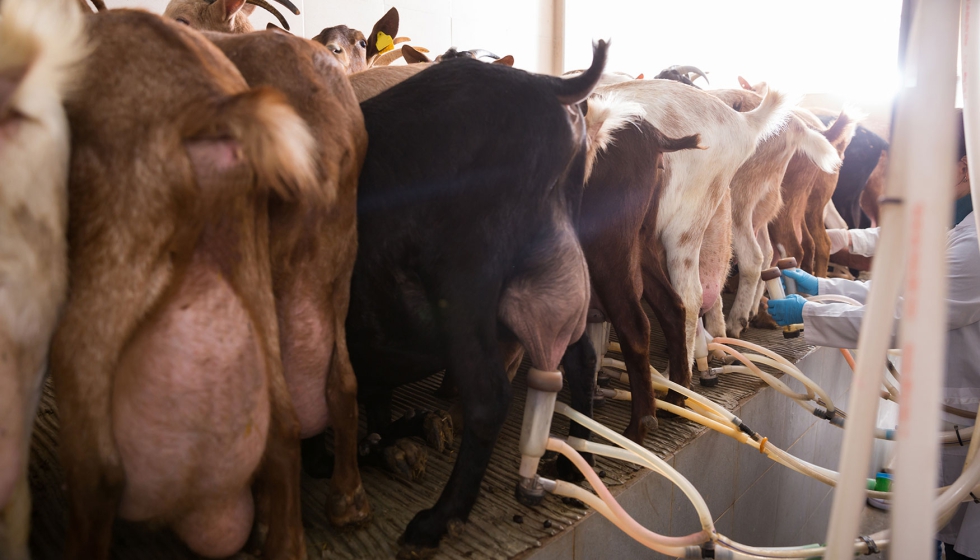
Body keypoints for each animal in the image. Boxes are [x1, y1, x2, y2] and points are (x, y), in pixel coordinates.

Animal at [345, 42, 608, 555]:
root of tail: (549, 85)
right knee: (580, 357)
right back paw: (570, 464)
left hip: (463, 276)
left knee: (489, 395)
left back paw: (437, 520)